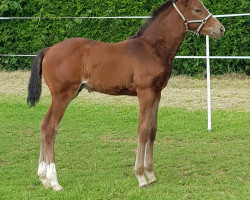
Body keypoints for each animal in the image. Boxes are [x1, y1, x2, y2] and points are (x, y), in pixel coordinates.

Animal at [27, 0, 225, 191]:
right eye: (198, 10)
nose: (220, 29)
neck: (152, 48)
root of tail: (49, 49)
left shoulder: (157, 93)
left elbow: (152, 129)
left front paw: (151, 175)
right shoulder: (145, 93)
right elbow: (143, 130)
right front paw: (141, 178)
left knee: (44, 125)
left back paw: (43, 179)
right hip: (62, 96)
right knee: (50, 127)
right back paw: (54, 182)